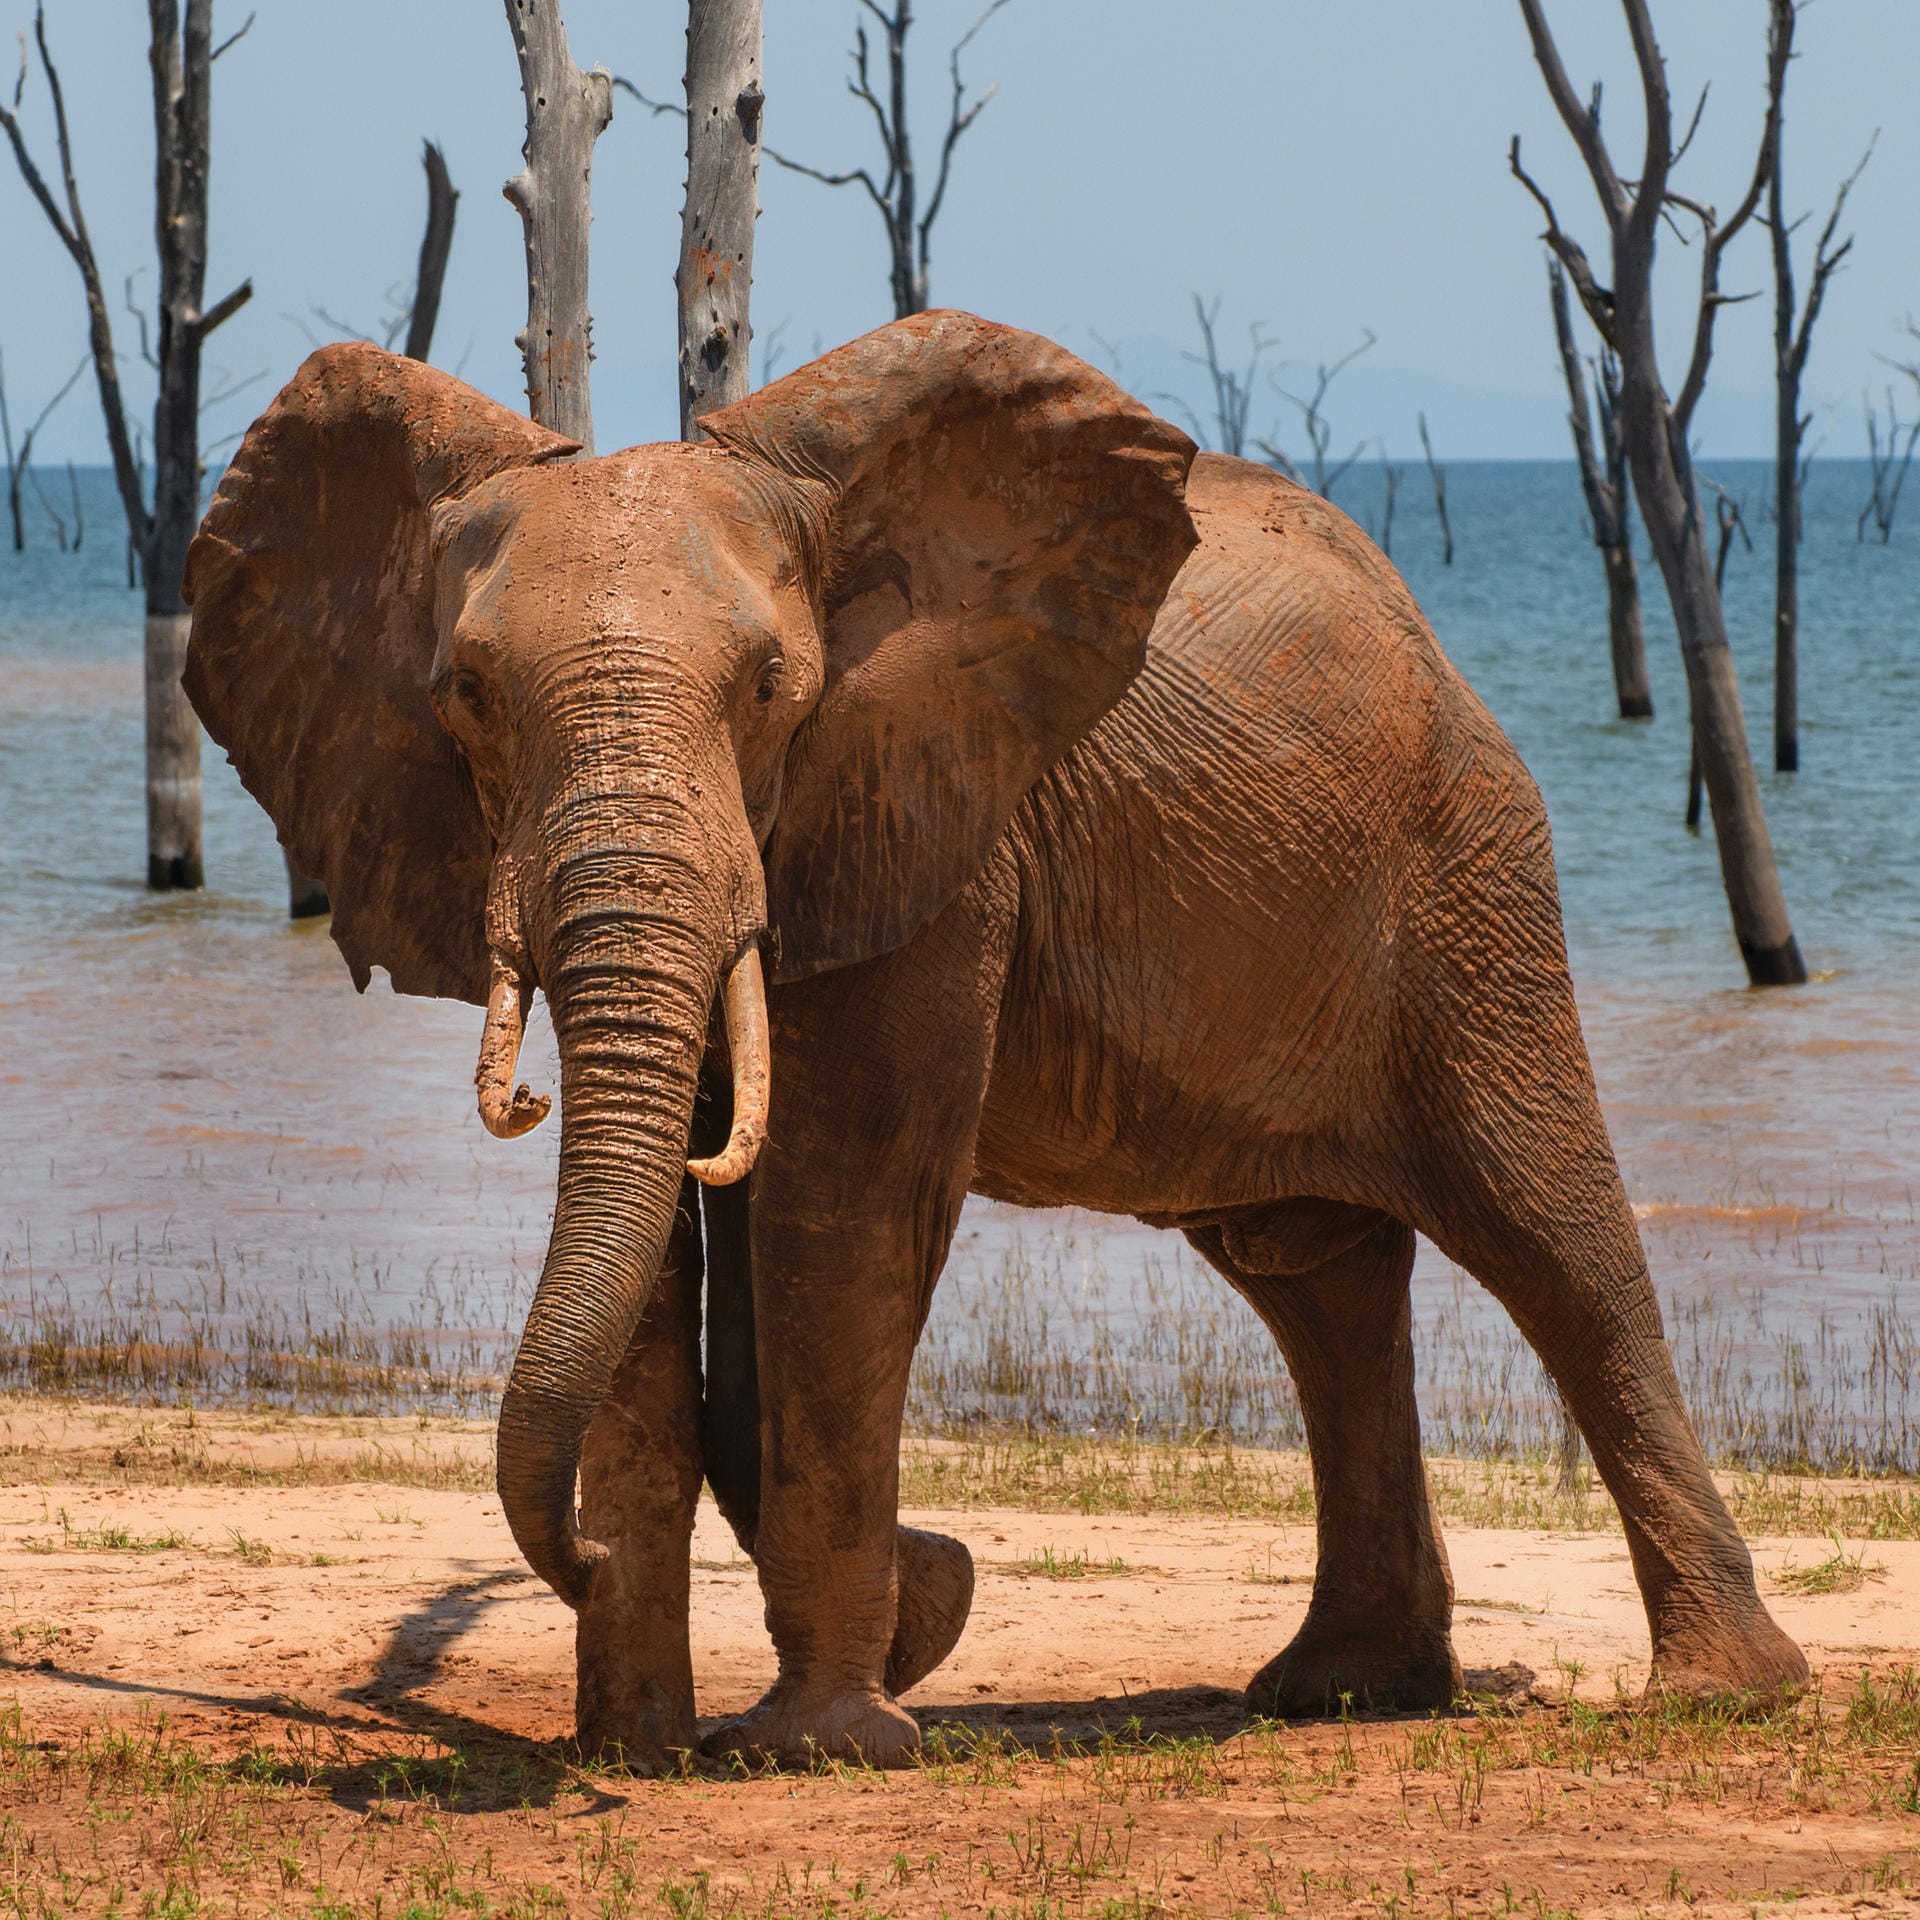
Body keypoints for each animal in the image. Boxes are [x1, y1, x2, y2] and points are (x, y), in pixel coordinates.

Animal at [180, 311, 1797, 1766]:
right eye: (465, 694)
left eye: (771, 691)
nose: (573, 1565)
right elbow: (715, 1247)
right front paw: (869, 1640)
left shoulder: (933, 812)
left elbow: (839, 1205)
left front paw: (827, 1739)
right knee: (1314, 1274)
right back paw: (1347, 1690)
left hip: (1468, 872)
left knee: (1549, 1231)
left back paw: (1723, 1695)